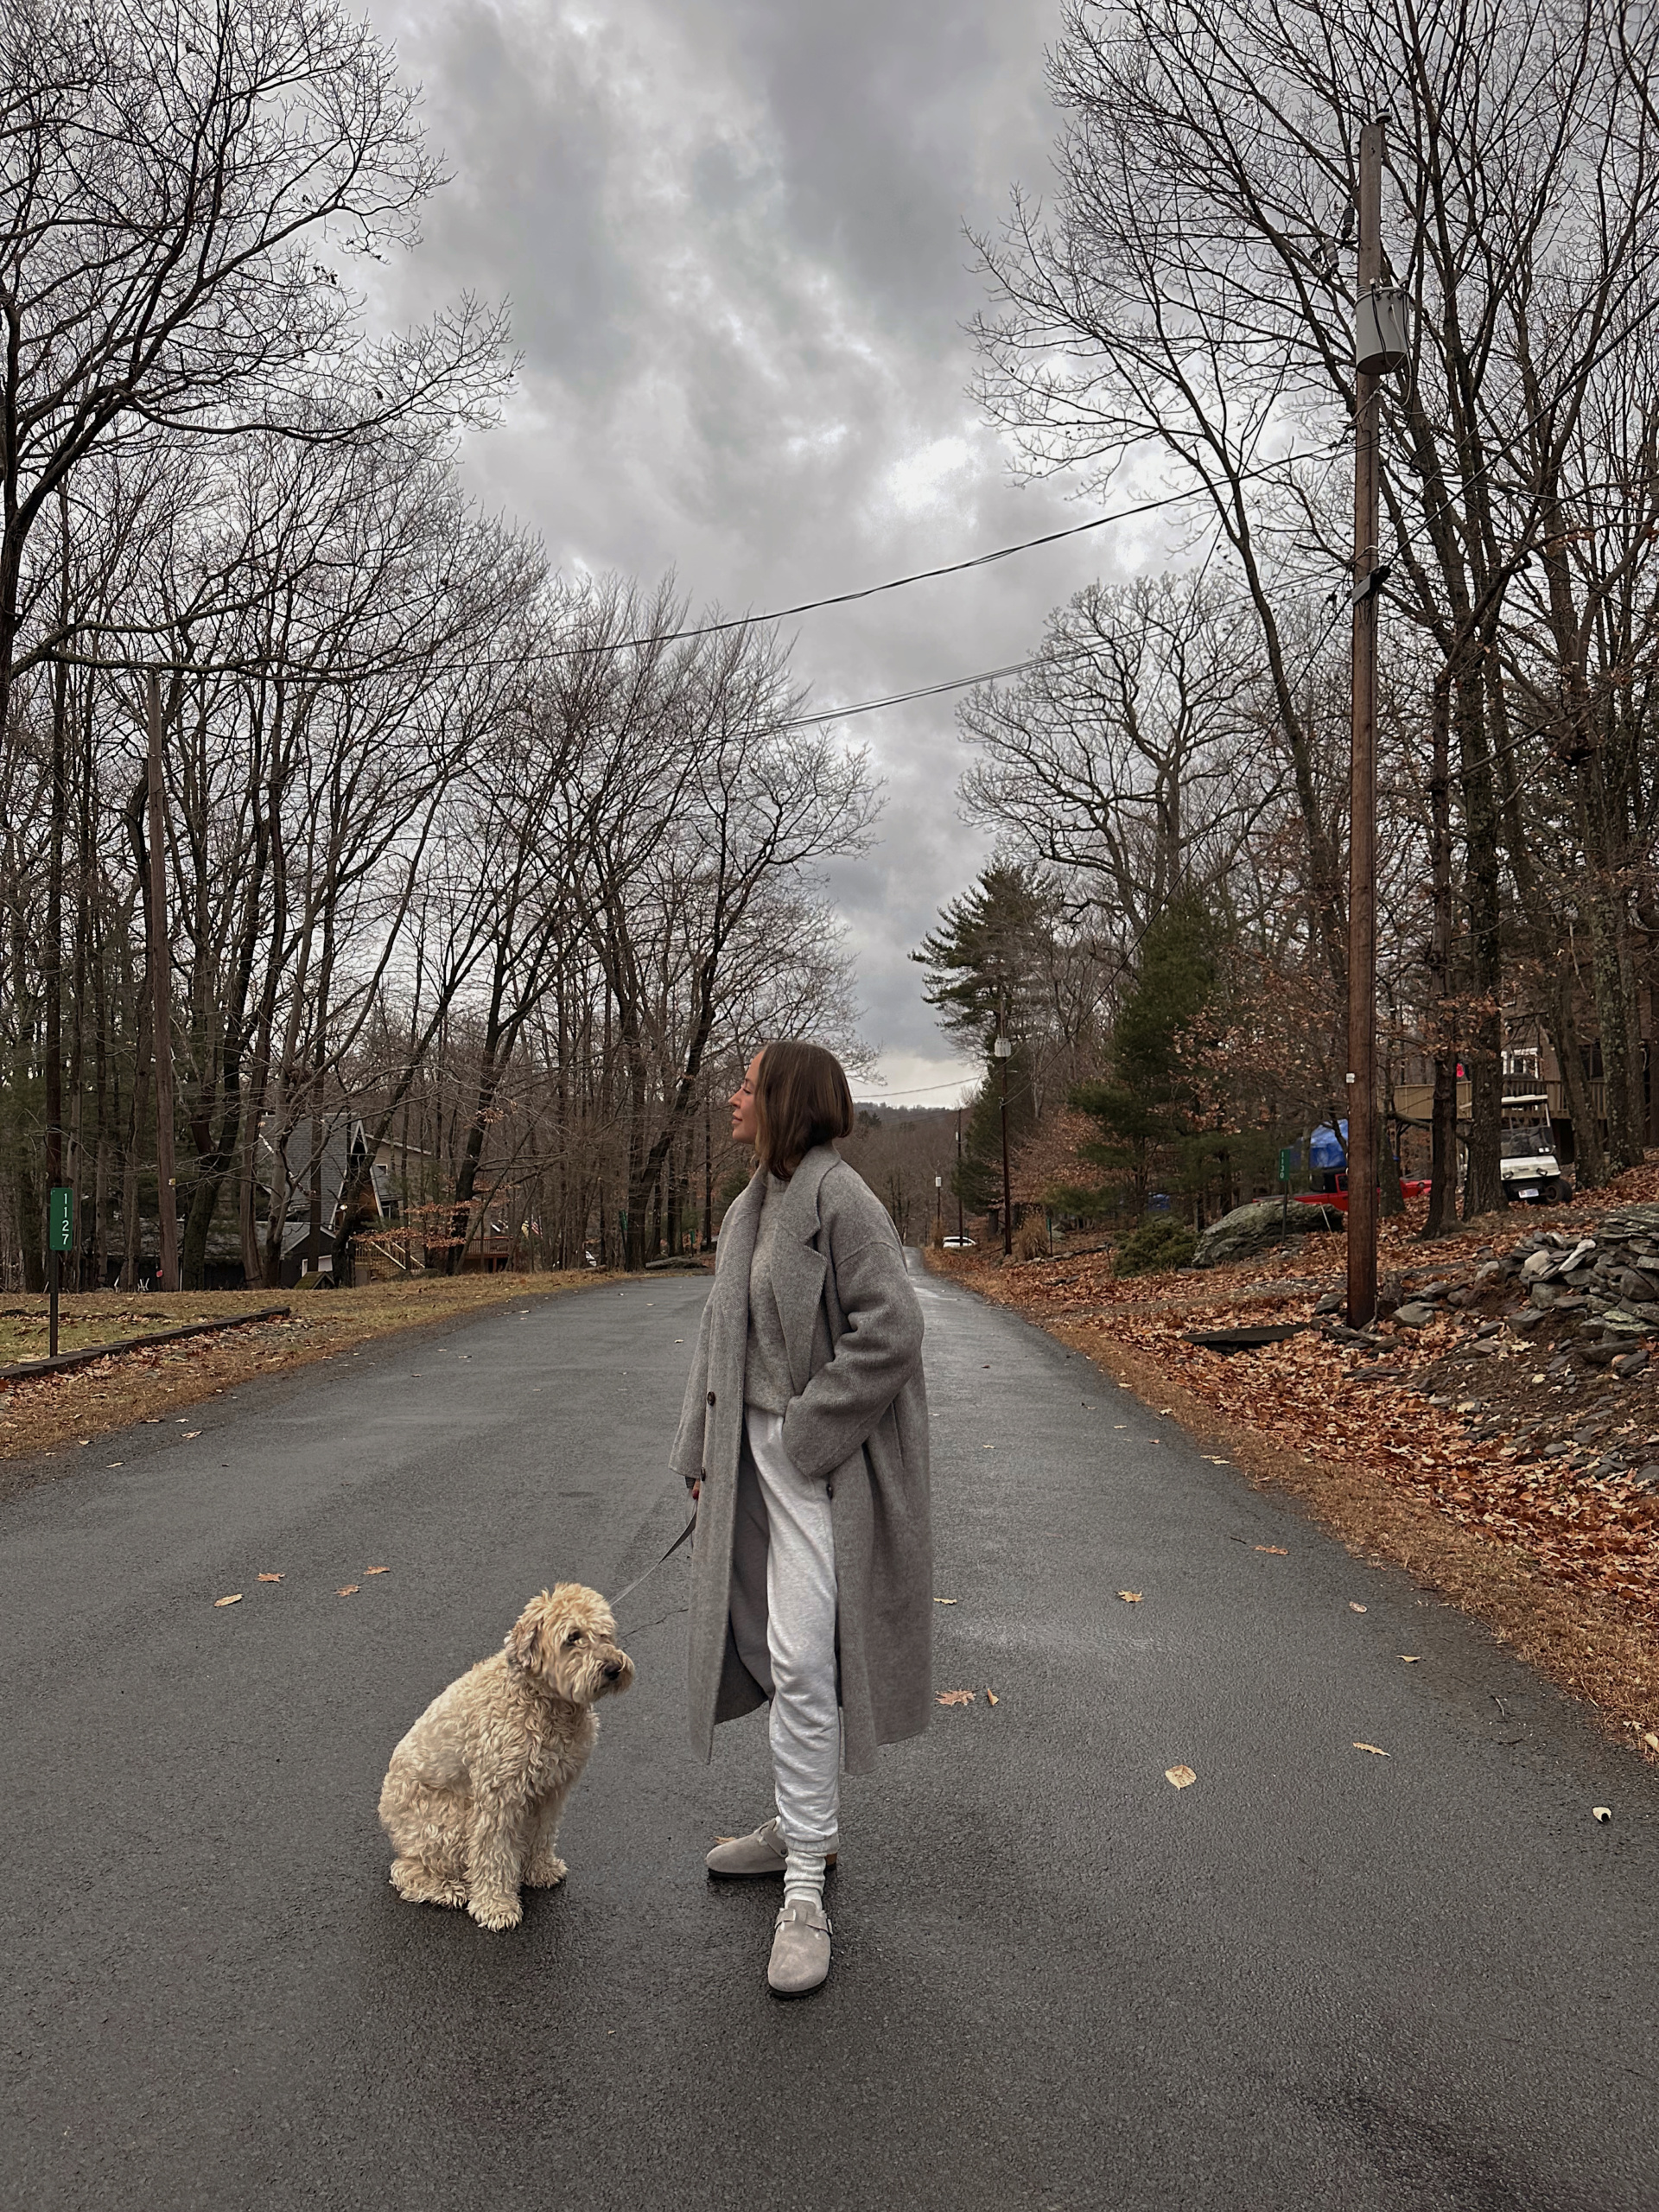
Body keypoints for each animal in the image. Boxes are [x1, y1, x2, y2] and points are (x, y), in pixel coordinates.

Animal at [380, 1583, 632, 1929]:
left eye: (606, 1634)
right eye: (572, 1637)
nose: (613, 1668)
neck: (543, 1701)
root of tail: (387, 1817)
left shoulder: (550, 1791)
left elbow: (542, 1833)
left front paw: (540, 1870)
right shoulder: (499, 1797)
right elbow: (492, 1853)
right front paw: (496, 1907)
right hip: (450, 1821)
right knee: (406, 1870)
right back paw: (447, 1890)